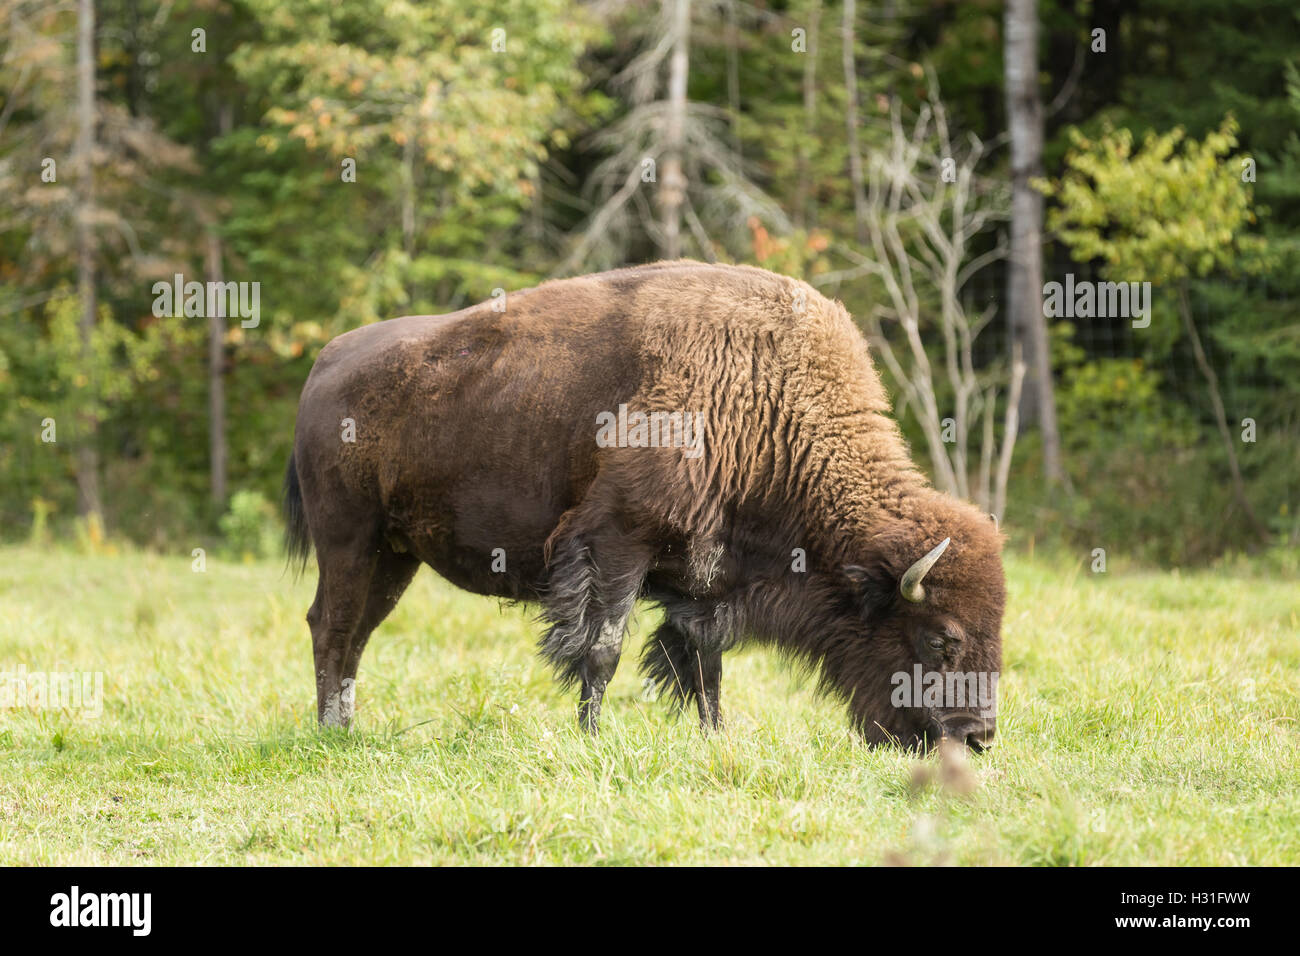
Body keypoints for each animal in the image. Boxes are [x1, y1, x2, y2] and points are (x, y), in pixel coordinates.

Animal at [284, 260, 1005, 750]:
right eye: (940, 638)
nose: (976, 737)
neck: (766, 399)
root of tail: (326, 362)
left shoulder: (707, 580)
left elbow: (705, 664)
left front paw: (716, 738)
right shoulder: (616, 544)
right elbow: (601, 649)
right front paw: (592, 739)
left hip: (395, 556)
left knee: (357, 633)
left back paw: (345, 728)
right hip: (349, 541)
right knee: (332, 627)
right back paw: (330, 734)